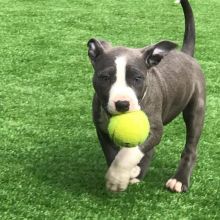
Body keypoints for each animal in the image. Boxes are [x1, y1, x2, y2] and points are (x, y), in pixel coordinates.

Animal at [86, 0, 205, 192]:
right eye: (105, 78)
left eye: (137, 78)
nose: (122, 104)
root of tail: (185, 54)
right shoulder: (101, 128)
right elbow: (112, 154)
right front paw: (124, 173)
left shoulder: (154, 128)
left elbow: (129, 153)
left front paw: (118, 177)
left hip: (196, 108)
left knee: (191, 147)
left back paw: (179, 180)